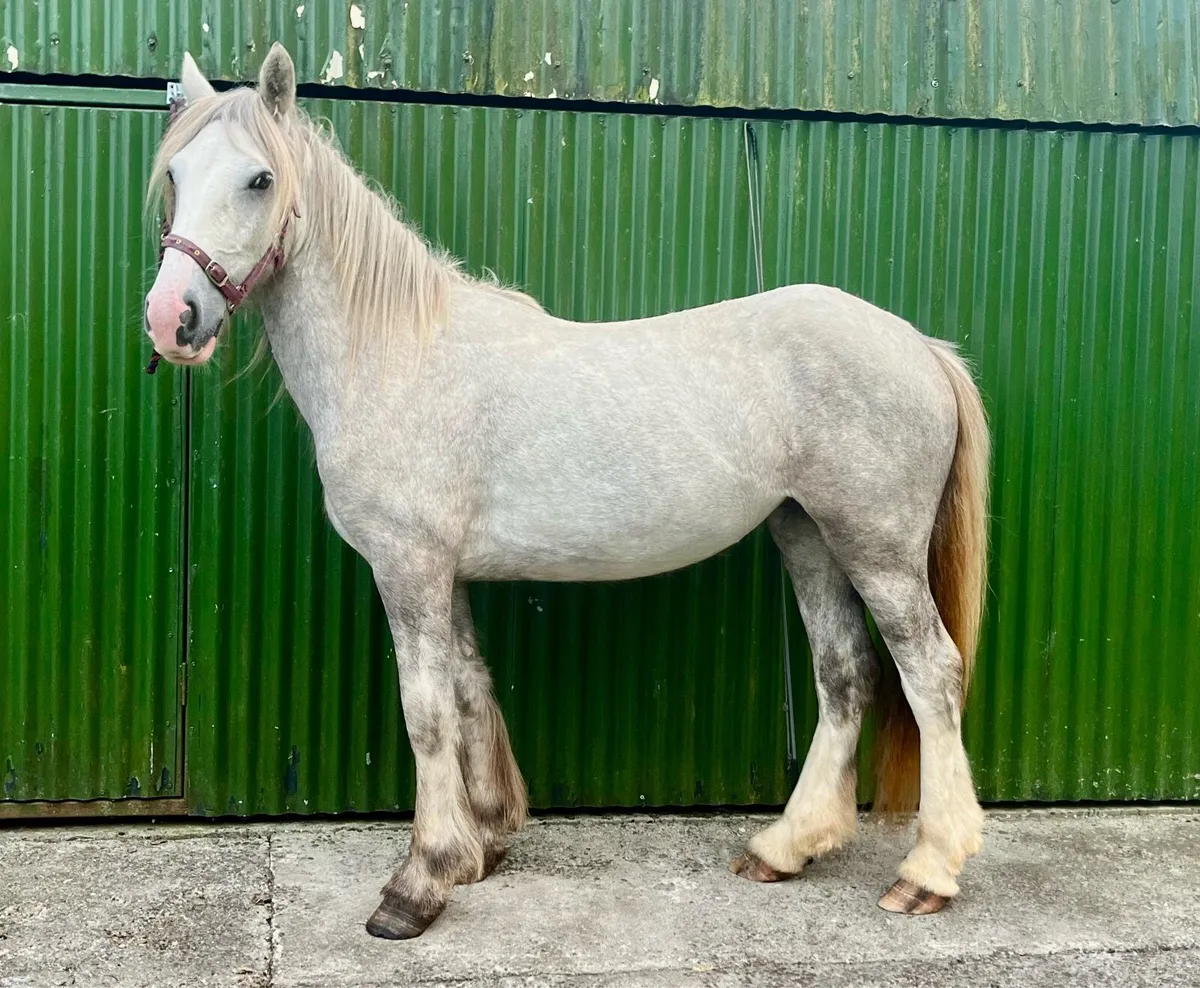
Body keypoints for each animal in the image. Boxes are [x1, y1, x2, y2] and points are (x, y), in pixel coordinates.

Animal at [143, 43, 990, 939]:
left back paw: (928, 871)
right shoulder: (446, 574)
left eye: (259, 179)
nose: (172, 318)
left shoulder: (409, 568)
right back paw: (785, 848)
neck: (396, 352)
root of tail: (920, 346)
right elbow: (470, 689)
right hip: (808, 536)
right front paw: (480, 846)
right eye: (177, 174)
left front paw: (418, 883)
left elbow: (426, 711)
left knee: (930, 672)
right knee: (845, 673)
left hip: (878, 548)